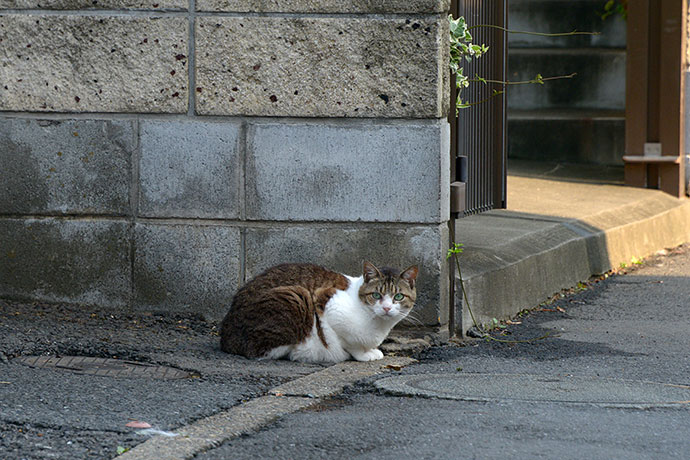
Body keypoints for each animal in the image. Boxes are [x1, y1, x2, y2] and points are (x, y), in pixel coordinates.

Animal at [218, 262, 416, 362]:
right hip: (297, 296)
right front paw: (364, 354)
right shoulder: (328, 303)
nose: (386, 308)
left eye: (398, 296)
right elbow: (349, 342)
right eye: (376, 295)